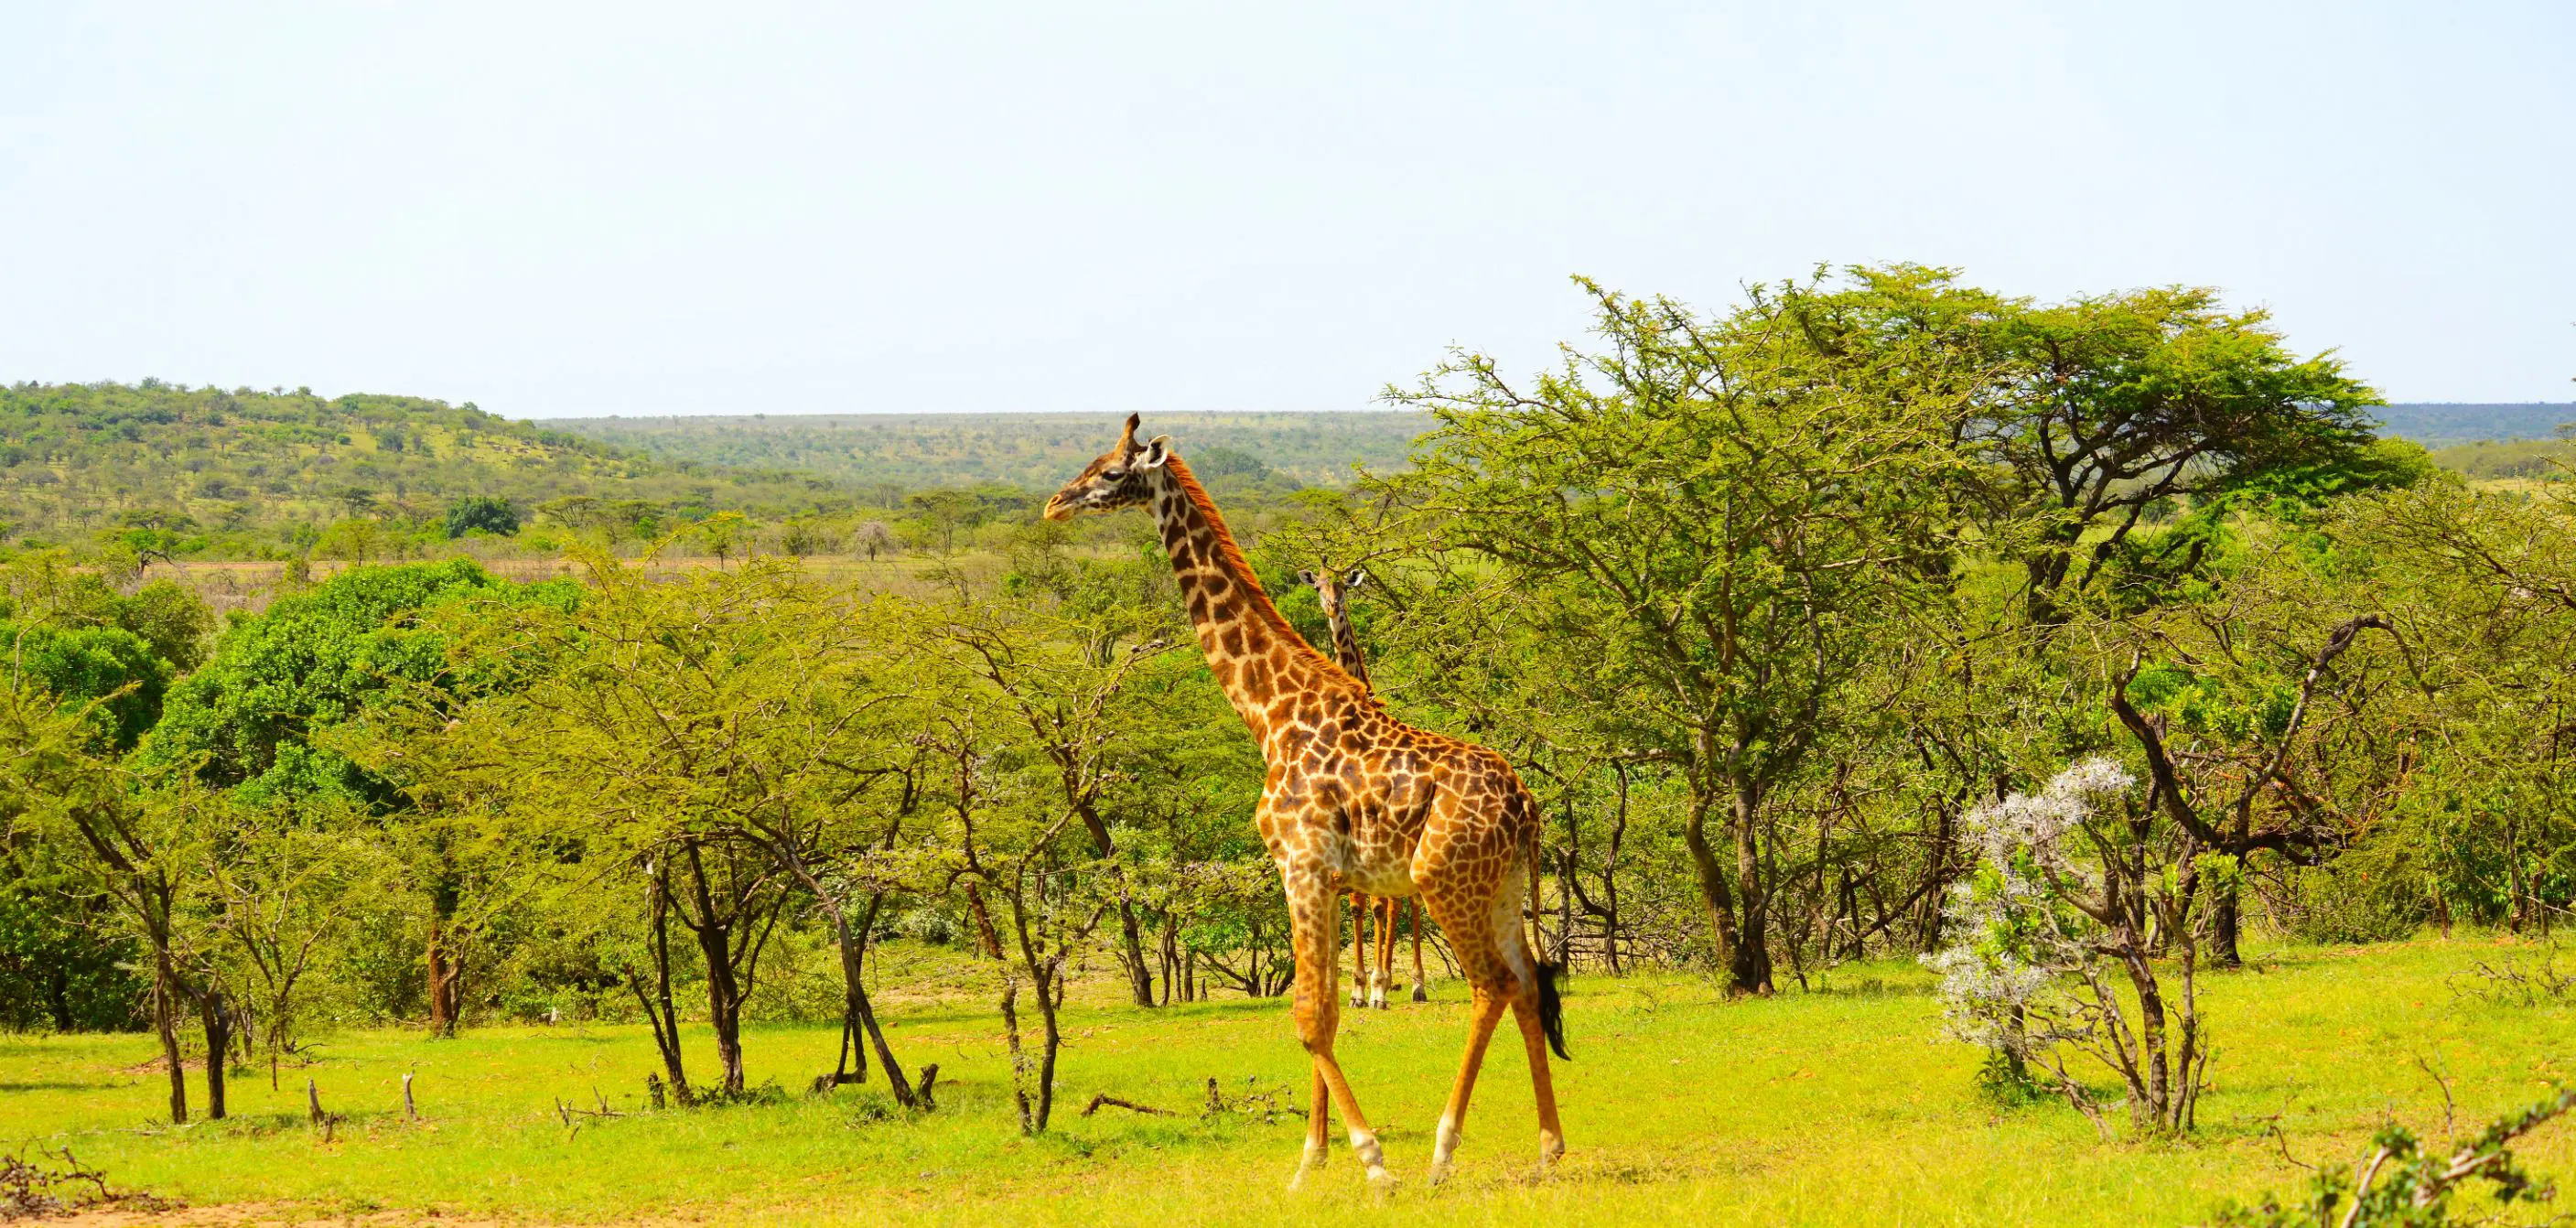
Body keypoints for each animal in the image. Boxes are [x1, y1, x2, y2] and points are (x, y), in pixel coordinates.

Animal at [1294, 566, 1431, 1009]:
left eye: (1344, 587)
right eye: (1319, 587)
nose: (1333, 608)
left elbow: (1377, 907)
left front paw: (1377, 985)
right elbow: (1356, 905)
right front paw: (1356, 989)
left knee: (1405, 902)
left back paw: (1414, 985)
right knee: (1393, 901)